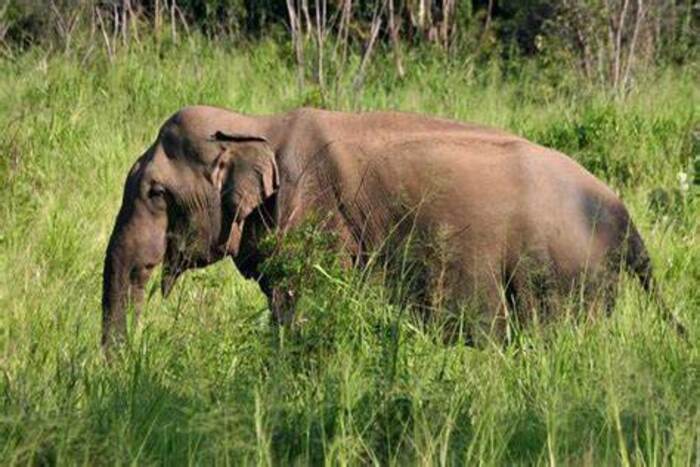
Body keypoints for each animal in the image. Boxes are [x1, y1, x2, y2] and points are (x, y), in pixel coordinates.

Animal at [101, 105, 680, 348]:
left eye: (156, 193)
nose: (125, 367)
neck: (256, 124)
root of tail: (627, 218)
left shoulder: (316, 225)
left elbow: (302, 315)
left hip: (563, 277)